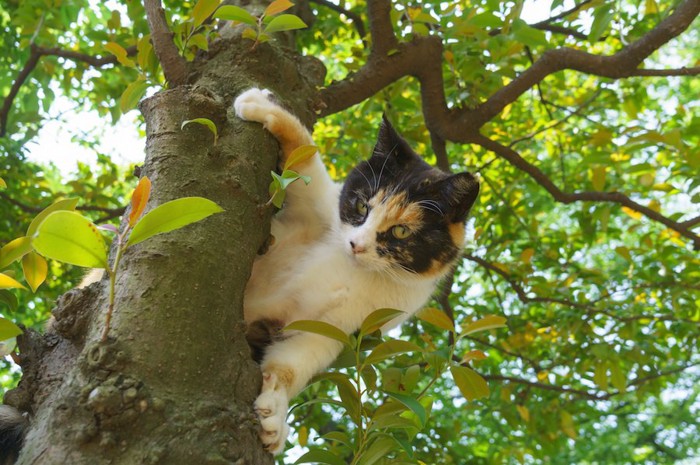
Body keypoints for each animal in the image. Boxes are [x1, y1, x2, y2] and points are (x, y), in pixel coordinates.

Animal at [235, 88, 482, 454]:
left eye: (401, 232)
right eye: (362, 205)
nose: (356, 245)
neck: (352, 271)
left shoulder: (331, 329)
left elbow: (292, 365)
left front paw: (275, 414)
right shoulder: (313, 212)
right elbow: (306, 160)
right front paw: (261, 105)